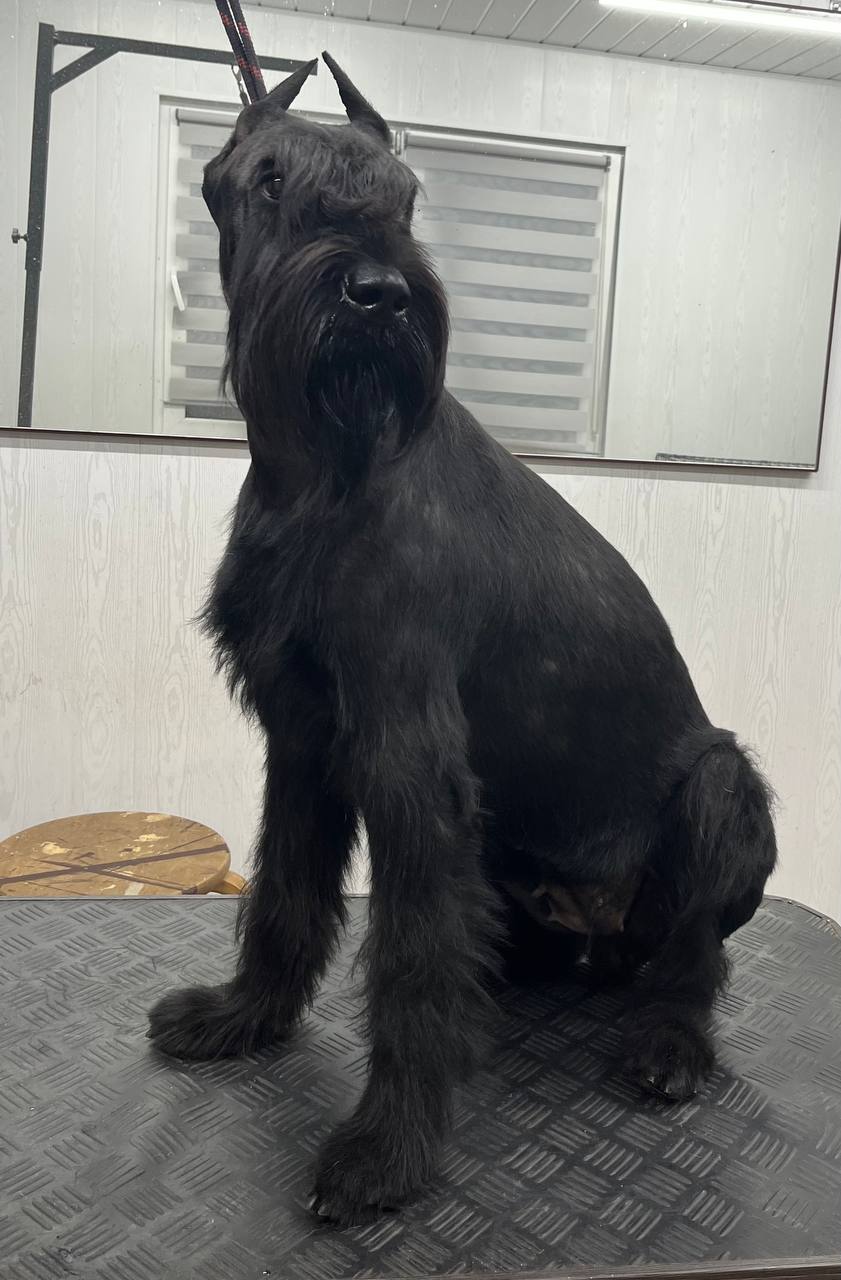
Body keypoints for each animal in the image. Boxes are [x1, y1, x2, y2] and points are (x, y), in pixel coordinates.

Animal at [148, 52, 777, 1226]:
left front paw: (386, 1148)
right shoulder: (304, 736)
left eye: (404, 197)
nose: (379, 293)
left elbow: (404, 961)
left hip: (721, 789)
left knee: (690, 961)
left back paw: (669, 1044)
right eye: (269, 178)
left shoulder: (405, 754)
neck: (323, 470)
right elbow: (287, 894)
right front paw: (245, 1016)